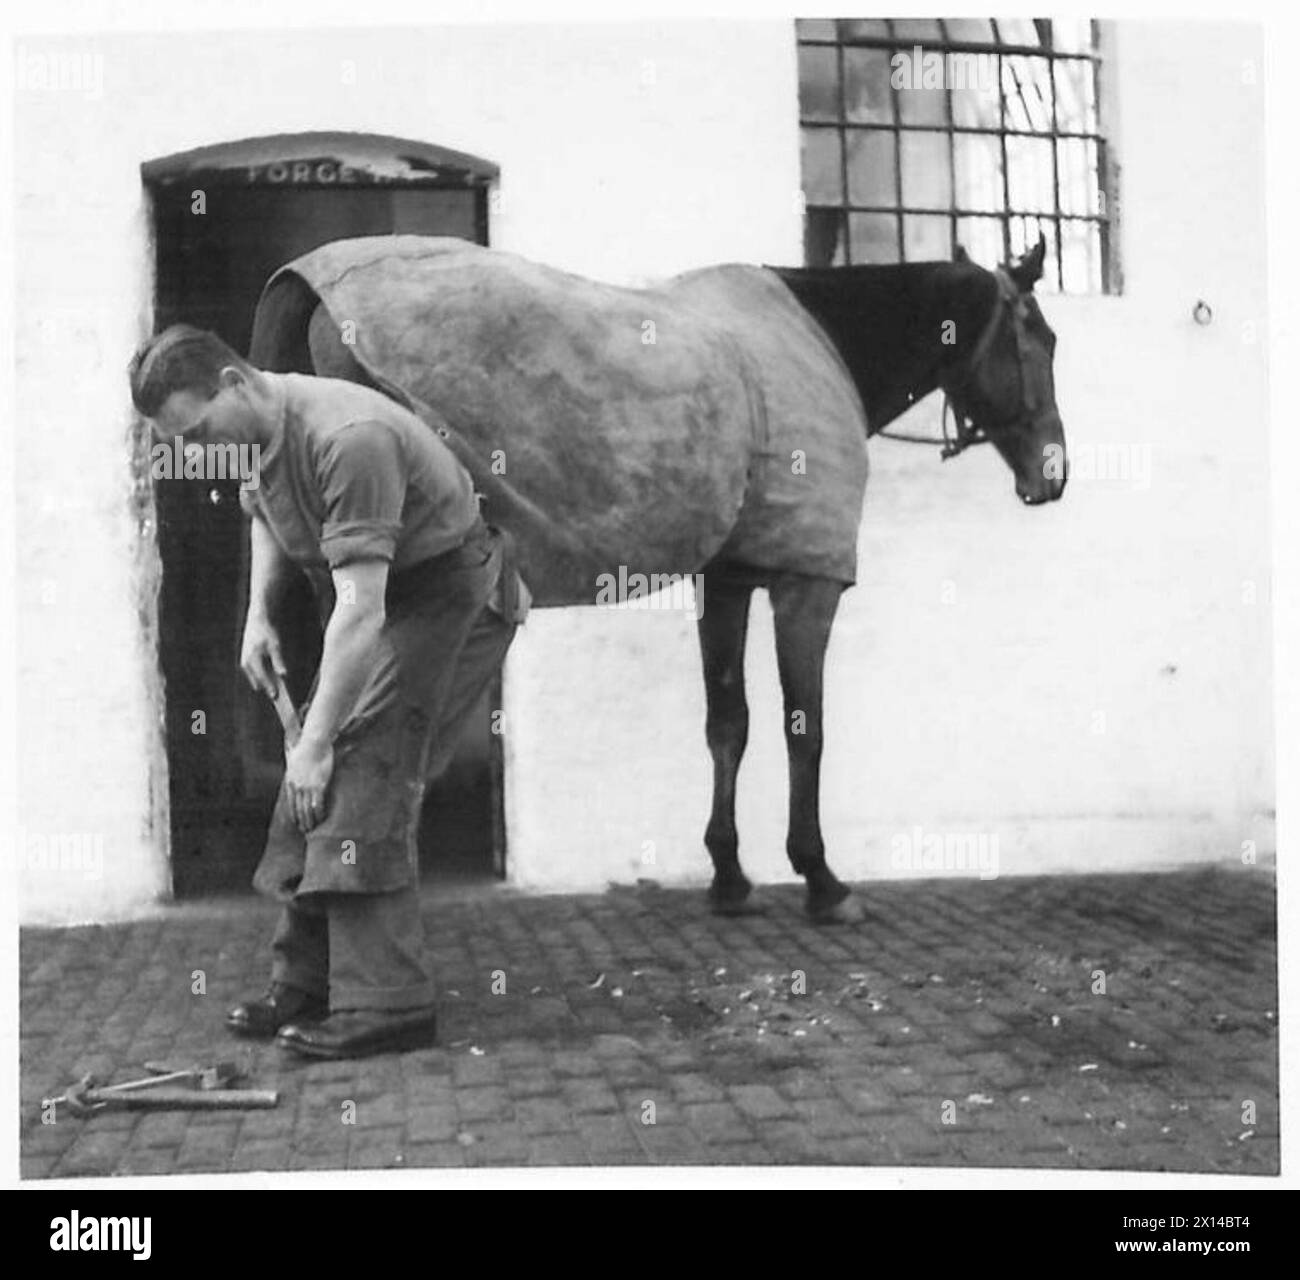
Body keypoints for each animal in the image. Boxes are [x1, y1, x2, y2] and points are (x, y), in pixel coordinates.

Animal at [245, 235, 1066, 925]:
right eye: (1041, 339)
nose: (1052, 475)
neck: (813, 339)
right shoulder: (807, 581)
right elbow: (805, 729)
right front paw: (821, 878)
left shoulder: (728, 580)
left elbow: (728, 724)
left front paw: (729, 876)